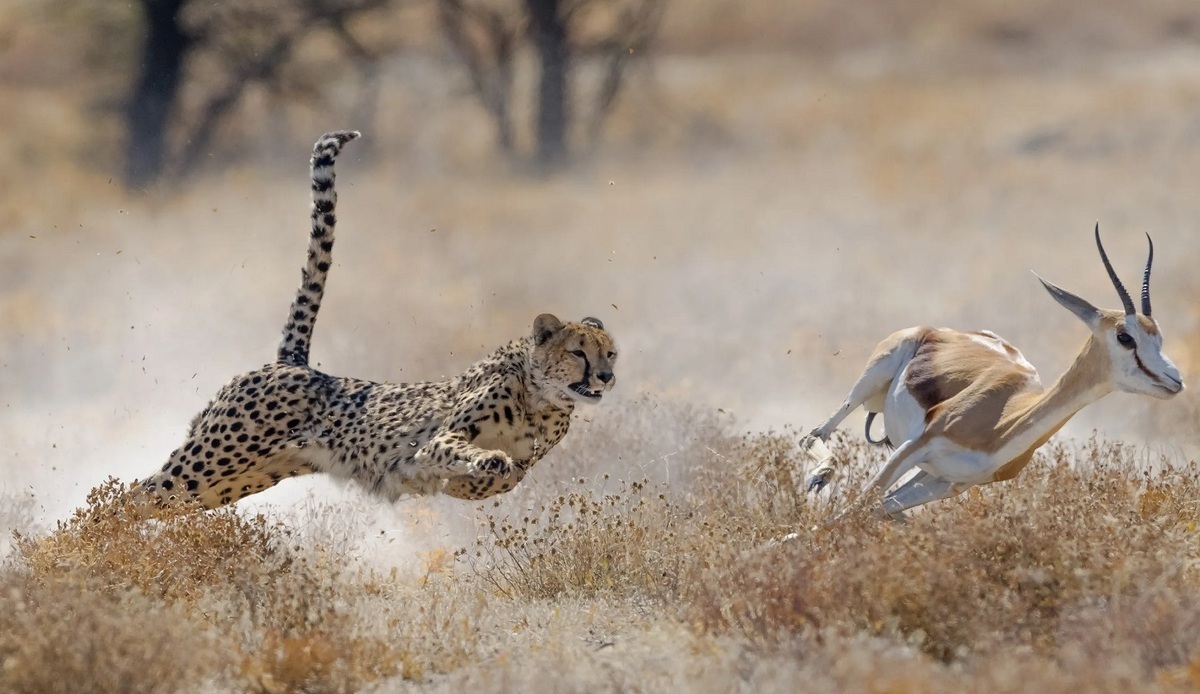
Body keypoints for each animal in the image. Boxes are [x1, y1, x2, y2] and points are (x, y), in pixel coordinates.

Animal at [136, 130, 614, 509]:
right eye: (578, 352)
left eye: (610, 354)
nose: (606, 378)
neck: (541, 398)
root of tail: (292, 363)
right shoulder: (438, 440)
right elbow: (468, 453)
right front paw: (486, 460)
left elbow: (509, 476)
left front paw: (479, 475)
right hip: (210, 461)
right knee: (129, 496)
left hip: (228, 482)